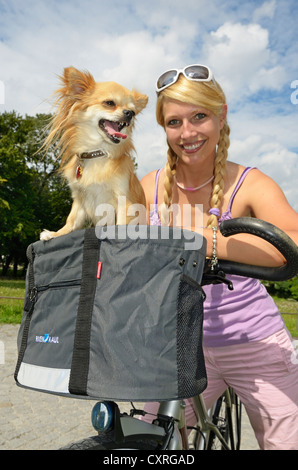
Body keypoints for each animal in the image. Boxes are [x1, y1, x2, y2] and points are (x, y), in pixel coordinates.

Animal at [40, 67, 147, 242]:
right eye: (109, 103)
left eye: (133, 111)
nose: (129, 113)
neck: (97, 153)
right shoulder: (80, 201)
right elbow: (71, 221)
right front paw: (56, 233)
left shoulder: (124, 201)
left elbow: (121, 224)